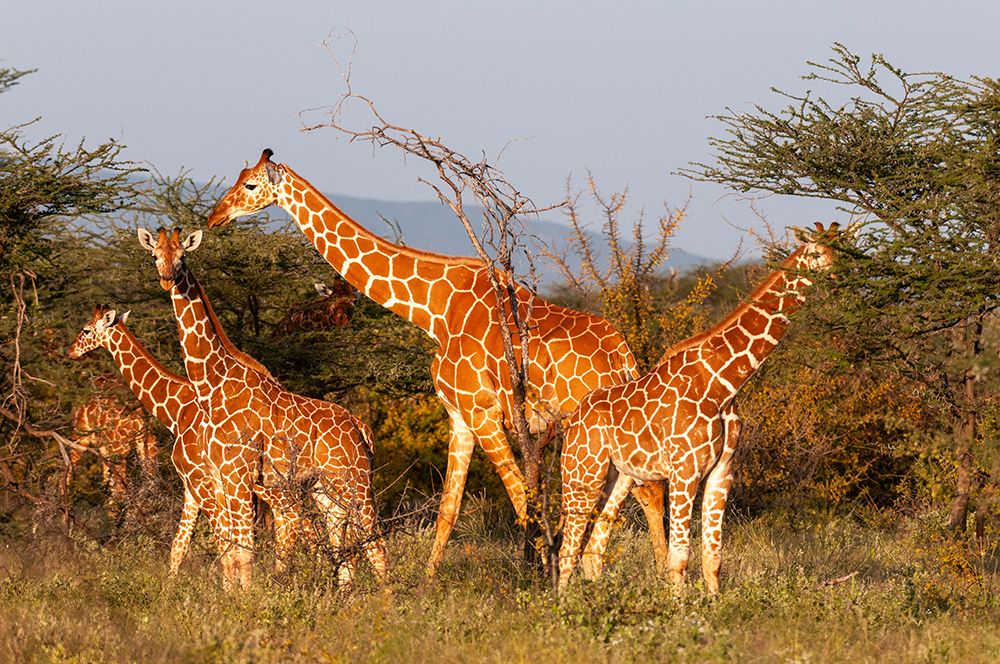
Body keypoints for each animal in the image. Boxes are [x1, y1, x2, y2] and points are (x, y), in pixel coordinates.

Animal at [139, 226, 388, 588]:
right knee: (346, 543)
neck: (212, 386)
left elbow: (245, 550)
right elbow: (232, 549)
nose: (167, 278)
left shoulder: (239, 477)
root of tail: (362, 429)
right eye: (155, 254)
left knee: (376, 542)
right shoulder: (220, 479)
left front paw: (247, 598)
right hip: (326, 489)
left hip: (355, 480)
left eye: (182, 256)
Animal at [204, 150, 672, 576]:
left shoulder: (483, 413)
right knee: (642, 492)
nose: (214, 217)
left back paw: (661, 576)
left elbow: (521, 499)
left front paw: (536, 577)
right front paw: (427, 586)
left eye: (250, 185)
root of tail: (624, 357)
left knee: (644, 491)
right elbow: (449, 508)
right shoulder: (459, 416)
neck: (435, 310)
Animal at [560, 222, 856, 592]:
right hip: (581, 472)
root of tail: (574, 419)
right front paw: (679, 604)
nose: (840, 276)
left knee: (593, 548)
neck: (723, 383)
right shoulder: (684, 471)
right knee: (568, 549)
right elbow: (679, 556)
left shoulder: (722, 471)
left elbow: (713, 557)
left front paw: (712, 600)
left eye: (841, 250)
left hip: (620, 477)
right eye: (816, 253)